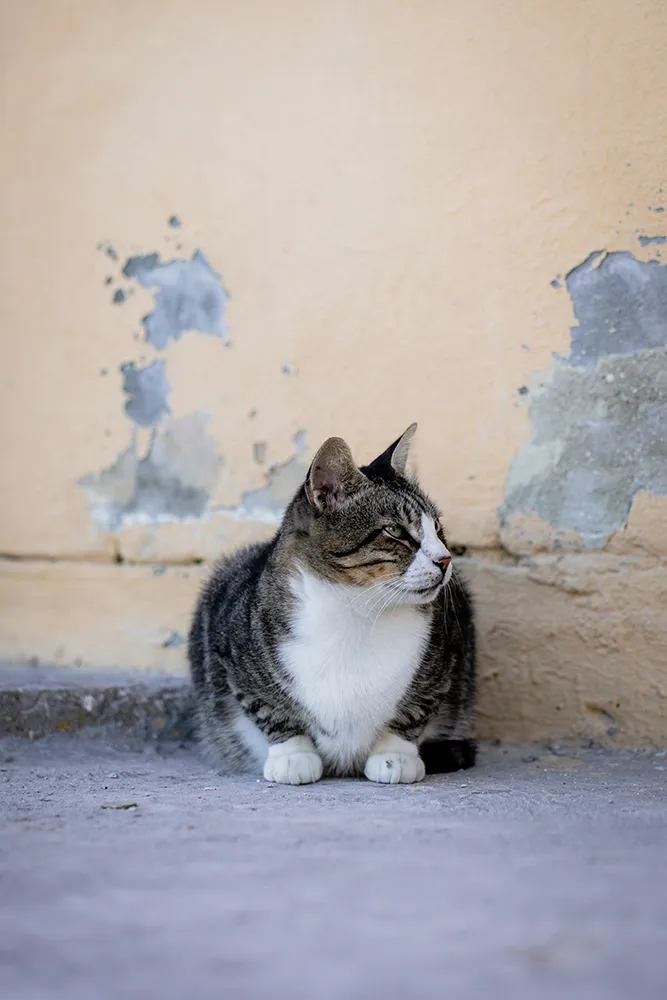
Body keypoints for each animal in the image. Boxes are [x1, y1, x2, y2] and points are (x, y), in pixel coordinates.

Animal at [190, 426, 478, 784]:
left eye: (437, 528)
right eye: (395, 530)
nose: (445, 559)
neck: (357, 611)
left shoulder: (449, 651)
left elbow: (415, 708)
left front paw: (394, 756)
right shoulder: (230, 649)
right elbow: (267, 707)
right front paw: (292, 755)